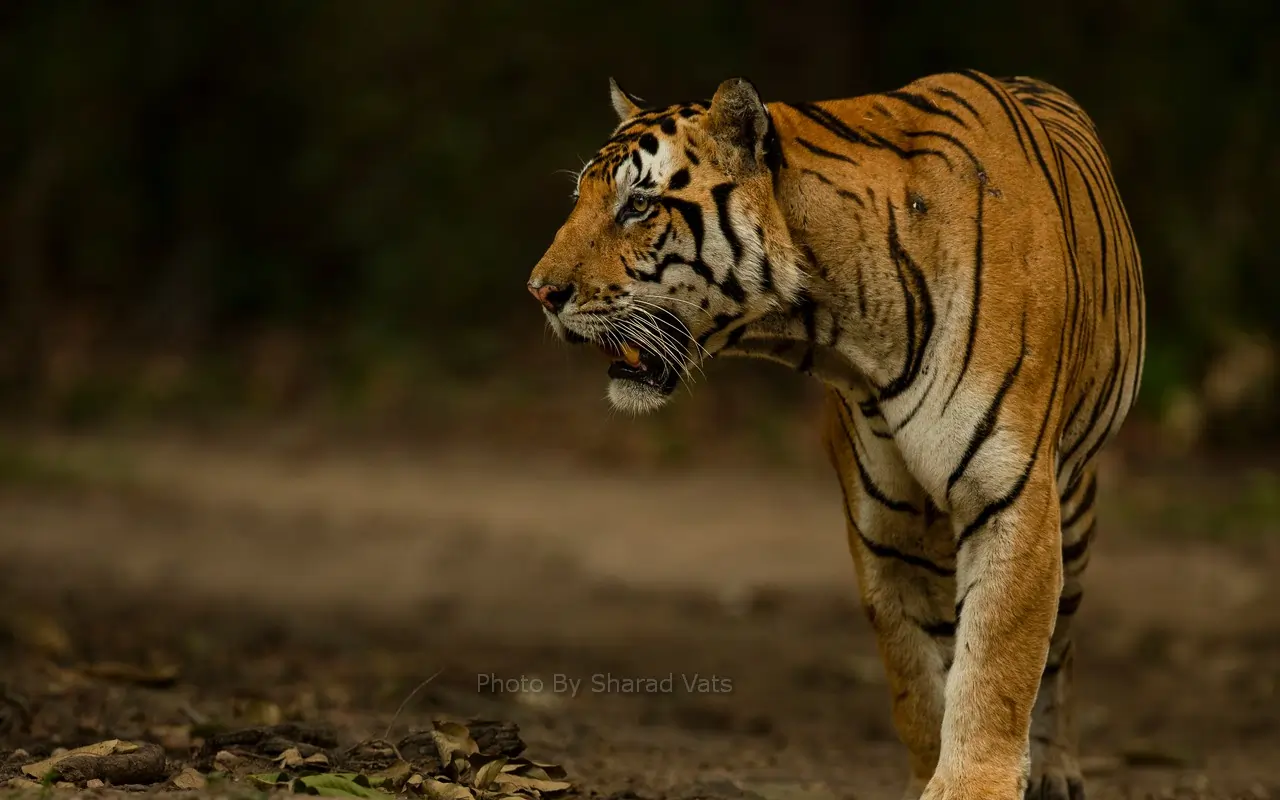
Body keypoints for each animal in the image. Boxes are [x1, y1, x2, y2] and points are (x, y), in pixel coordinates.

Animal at [526, 70, 1145, 800]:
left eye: (639, 205)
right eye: (582, 198)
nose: (539, 291)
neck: (841, 328)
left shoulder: (1010, 495)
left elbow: (999, 661)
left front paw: (973, 782)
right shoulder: (885, 528)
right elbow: (916, 678)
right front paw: (929, 772)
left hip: (1073, 511)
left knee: (1061, 650)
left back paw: (1053, 770)